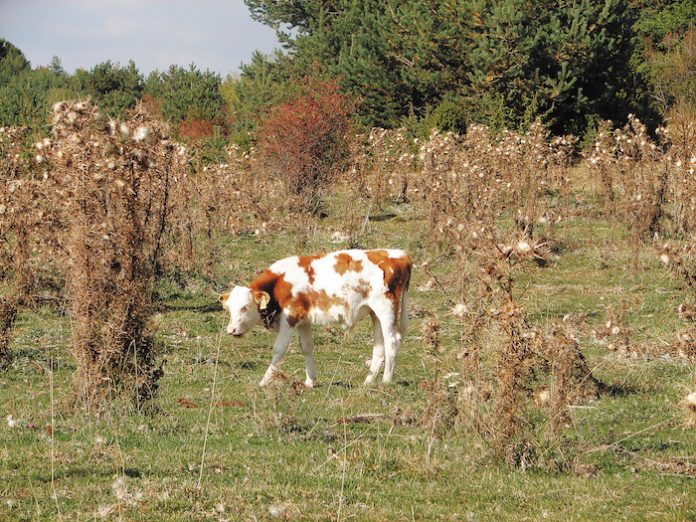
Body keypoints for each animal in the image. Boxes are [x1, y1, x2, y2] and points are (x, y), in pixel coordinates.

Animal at [220, 248, 410, 386]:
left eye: (245, 307)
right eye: (229, 309)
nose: (231, 330)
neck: (280, 282)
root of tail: (402, 255)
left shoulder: (290, 317)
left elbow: (279, 349)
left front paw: (264, 381)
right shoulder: (303, 321)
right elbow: (307, 347)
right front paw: (310, 380)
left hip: (386, 309)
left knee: (392, 341)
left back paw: (386, 381)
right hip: (375, 314)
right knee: (379, 346)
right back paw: (369, 381)